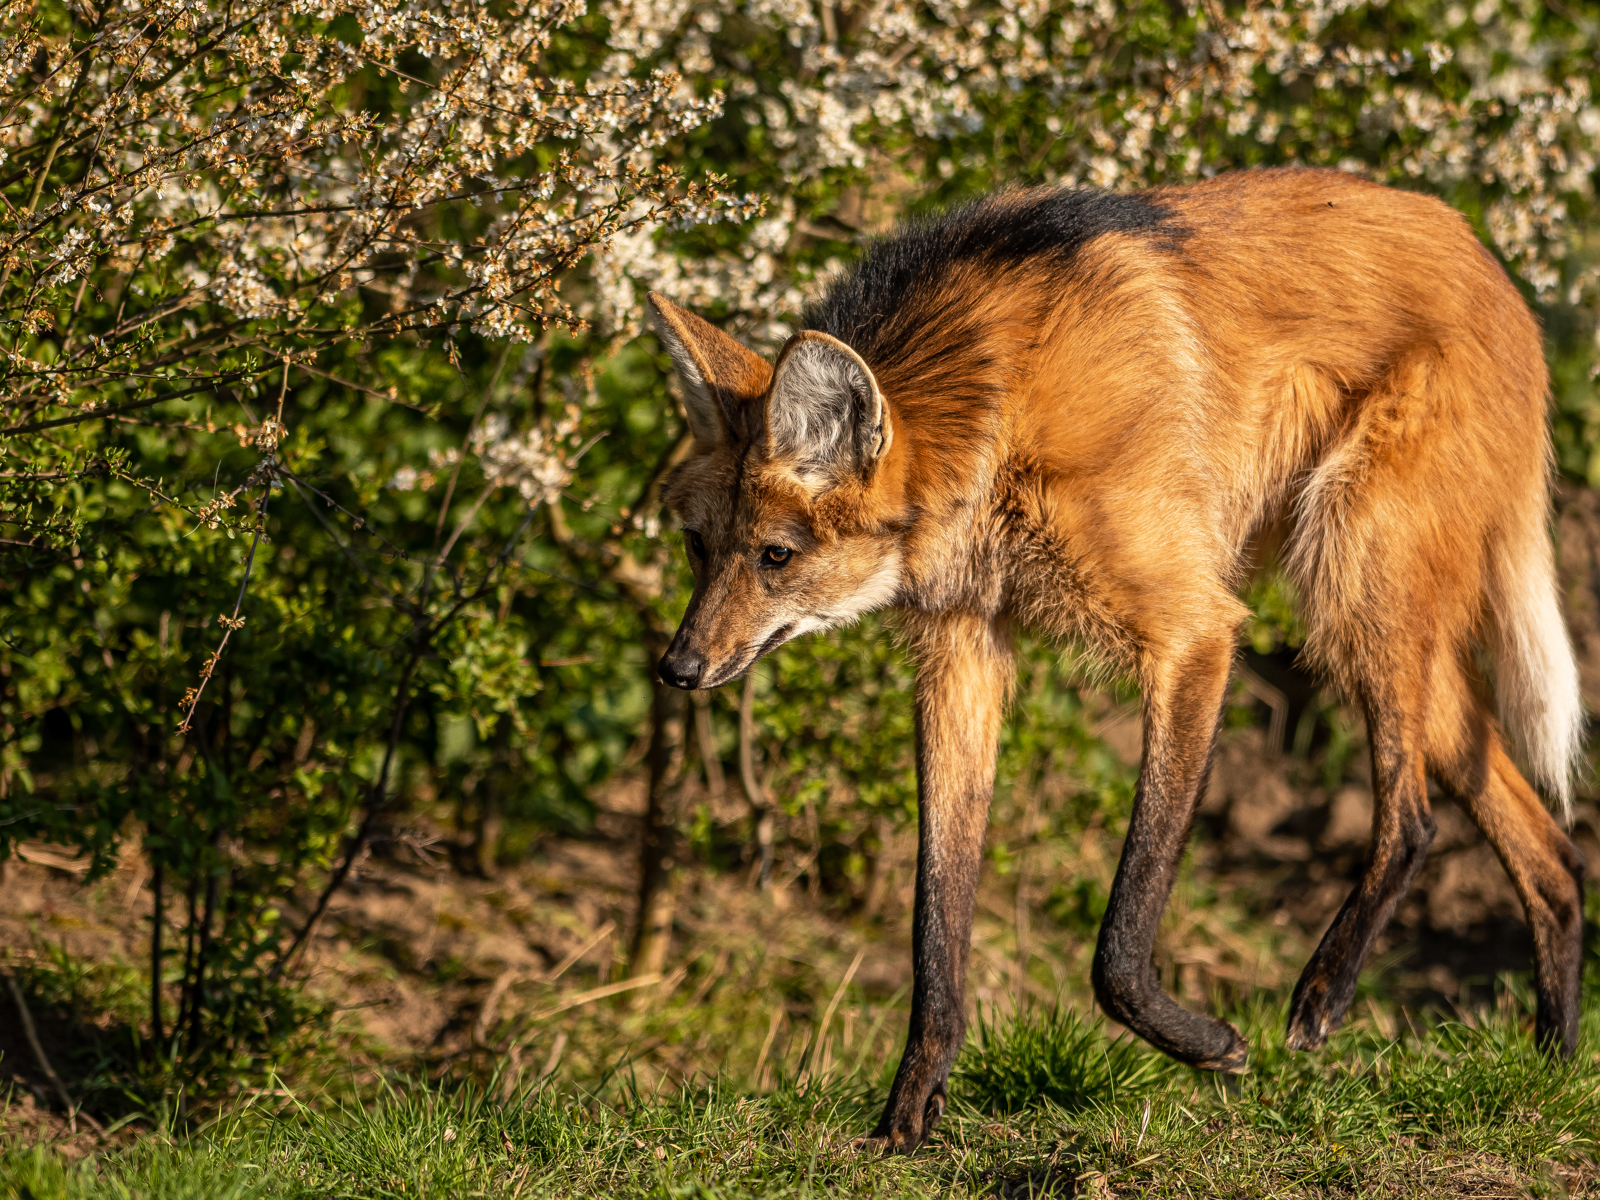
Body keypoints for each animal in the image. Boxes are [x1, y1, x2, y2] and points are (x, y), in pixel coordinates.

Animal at [646, 167, 1586, 1152]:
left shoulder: (1195, 631)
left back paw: (1324, 998)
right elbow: (936, 915)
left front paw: (1210, 1044)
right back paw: (1552, 1076)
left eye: (776, 556)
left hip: (1351, 576)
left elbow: (1120, 933)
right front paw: (907, 1114)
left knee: (1413, 819)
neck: (995, 416)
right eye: (698, 548)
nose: (677, 668)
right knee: (1553, 855)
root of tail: (1491, 262)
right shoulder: (964, 648)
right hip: (1377, 610)